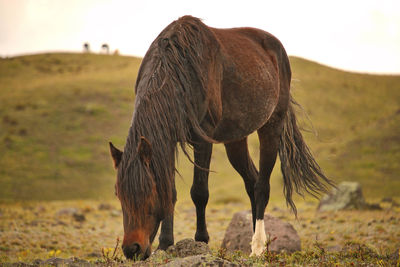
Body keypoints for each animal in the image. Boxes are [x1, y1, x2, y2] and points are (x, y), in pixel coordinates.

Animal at [110, 15, 334, 260]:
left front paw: (201, 240)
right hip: (235, 140)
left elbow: (199, 192)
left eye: (147, 194)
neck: (179, 69)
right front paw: (165, 244)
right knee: (252, 181)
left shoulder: (203, 139)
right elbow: (170, 190)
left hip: (271, 128)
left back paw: (258, 247)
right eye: (119, 195)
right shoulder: (168, 140)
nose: (132, 249)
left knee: (262, 186)